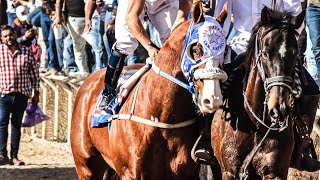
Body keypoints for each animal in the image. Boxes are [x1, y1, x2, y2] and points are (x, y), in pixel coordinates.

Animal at [72, 2, 228, 179]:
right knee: (123, 46)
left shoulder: (186, 173)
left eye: (225, 51)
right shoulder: (130, 173)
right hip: (86, 166)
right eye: (196, 50)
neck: (163, 118)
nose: (213, 98)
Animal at [211, 6, 304, 179]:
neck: (256, 126)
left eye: (295, 54)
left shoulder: (275, 173)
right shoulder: (229, 171)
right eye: (265, 53)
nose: (279, 109)